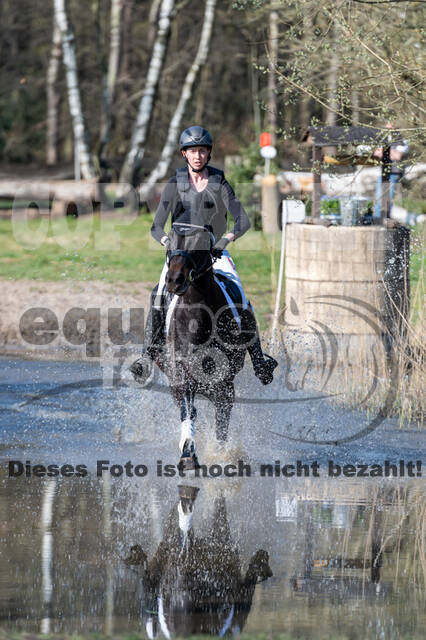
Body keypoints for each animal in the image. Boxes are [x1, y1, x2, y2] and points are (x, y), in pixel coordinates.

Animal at [154, 224, 251, 470]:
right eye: (171, 243)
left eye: (199, 244)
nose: (174, 280)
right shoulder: (183, 374)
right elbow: (188, 410)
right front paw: (188, 453)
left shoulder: (224, 383)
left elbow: (222, 420)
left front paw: (220, 454)